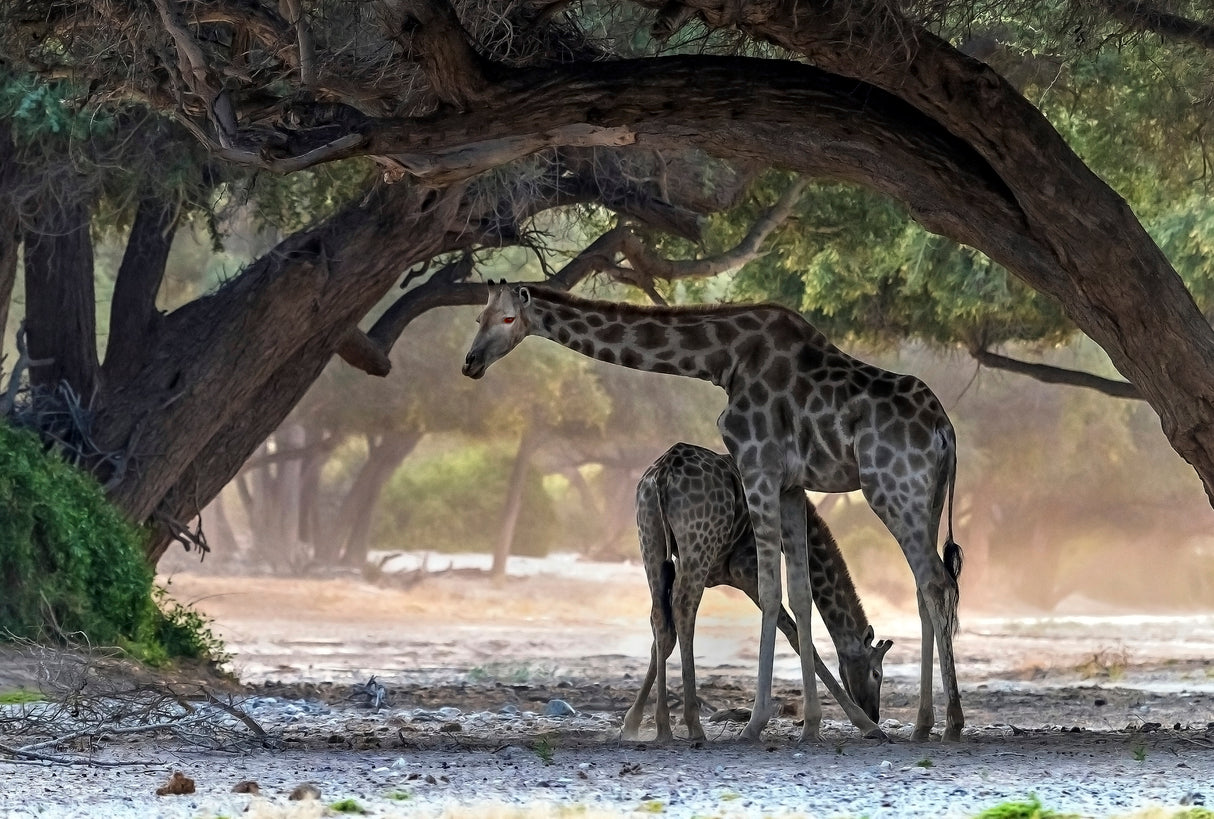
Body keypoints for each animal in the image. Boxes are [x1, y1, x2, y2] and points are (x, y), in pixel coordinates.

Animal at [621, 442, 892, 742]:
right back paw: (694, 725)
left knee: (662, 618)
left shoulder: (684, 565)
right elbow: (796, 637)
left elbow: (661, 639)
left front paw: (631, 723)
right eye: (876, 673)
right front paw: (865, 725)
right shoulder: (745, 570)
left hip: (651, 541)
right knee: (684, 609)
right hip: (697, 547)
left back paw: (663, 727)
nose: (874, 713)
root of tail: (663, 473)